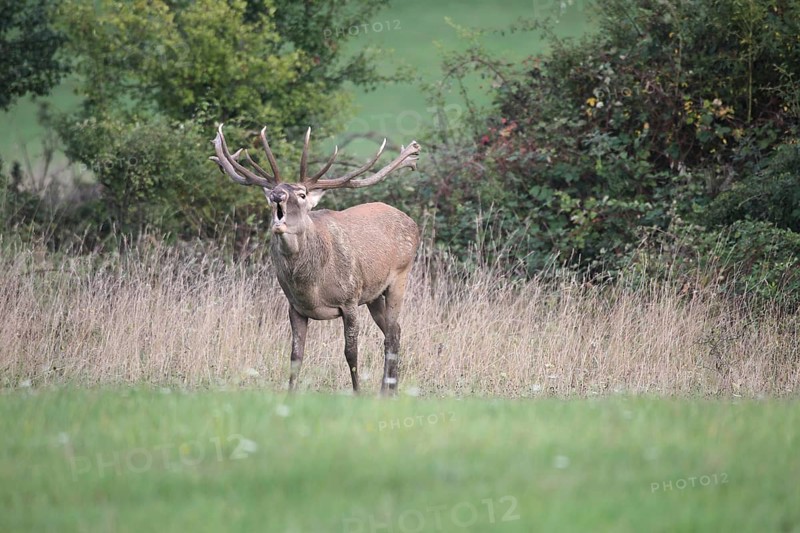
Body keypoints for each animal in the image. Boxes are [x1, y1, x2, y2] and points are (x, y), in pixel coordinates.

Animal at [210, 124, 420, 394]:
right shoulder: (295, 307)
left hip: (400, 276)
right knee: (395, 331)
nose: (277, 195)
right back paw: (389, 389)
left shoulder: (350, 298)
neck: (311, 285)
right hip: (373, 295)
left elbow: (350, 353)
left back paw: (387, 391)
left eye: (301, 194)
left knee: (392, 334)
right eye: (272, 193)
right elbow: (295, 356)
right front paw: (290, 394)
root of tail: (412, 222)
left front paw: (357, 392)